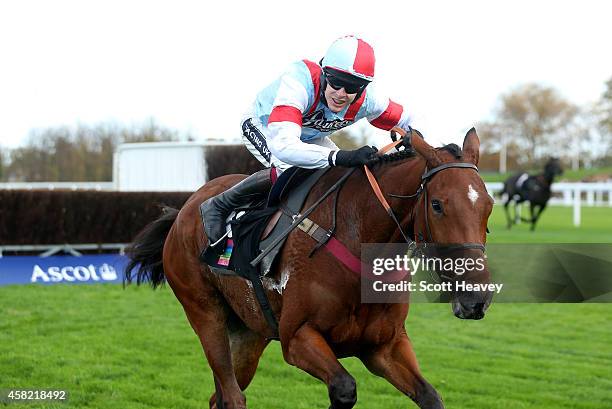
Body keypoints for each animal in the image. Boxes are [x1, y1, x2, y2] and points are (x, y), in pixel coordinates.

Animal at [123, 128, 492, 408]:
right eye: (438, 204)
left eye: (488, 206)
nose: (477, 299)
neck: (357, 237)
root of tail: (184, 211)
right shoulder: (297, 338)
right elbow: (344, 388)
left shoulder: (384, 347)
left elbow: (430, 397)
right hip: (205, 313)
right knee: (233, 396)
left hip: (247, 332)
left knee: (221, 398)